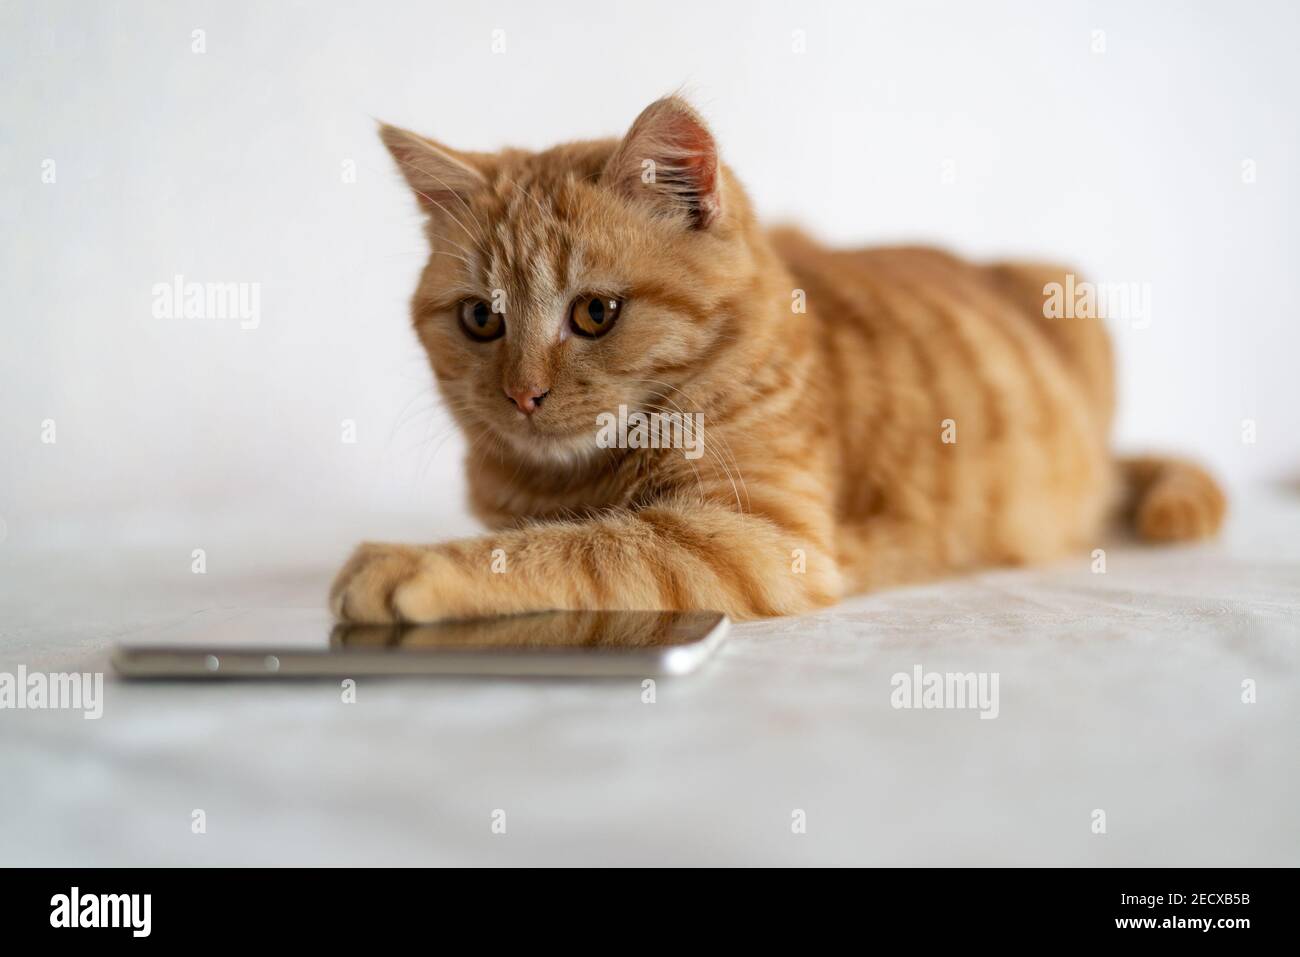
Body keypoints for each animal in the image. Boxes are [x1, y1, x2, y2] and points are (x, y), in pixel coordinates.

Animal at [330, 95, 1222, 621]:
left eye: (594, 313)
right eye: (482, 318)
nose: (523, 395)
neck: (565, 481)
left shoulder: (755, 535)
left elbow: (583, 545)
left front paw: (409, 565)